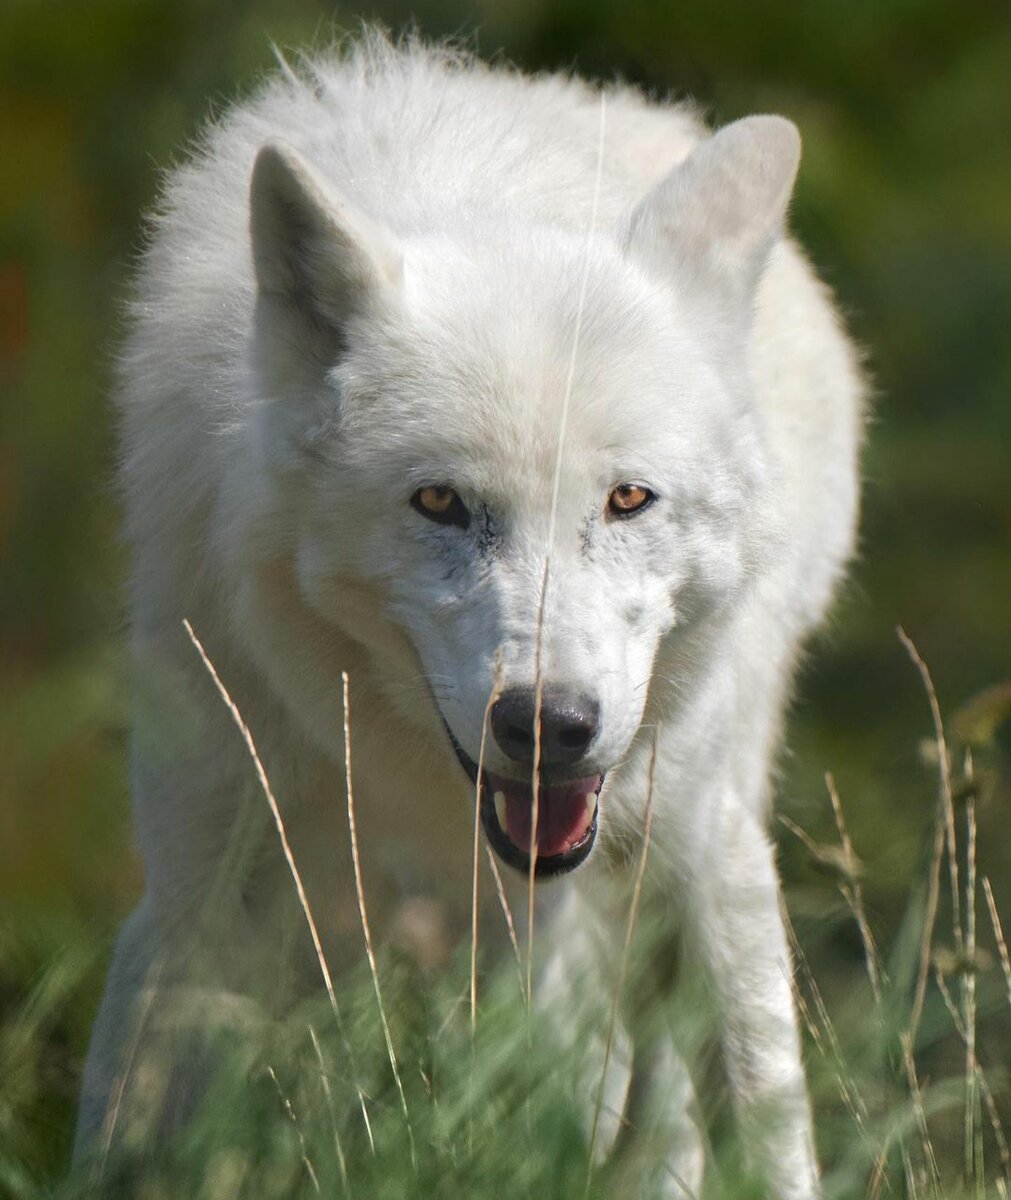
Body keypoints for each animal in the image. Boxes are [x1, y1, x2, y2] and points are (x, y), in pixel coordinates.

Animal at [78, 32, 864, 1195]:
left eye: (627, 499)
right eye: (441, 503)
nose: (552, 725)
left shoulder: (704, 858)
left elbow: (766, 1139)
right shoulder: (205, 896)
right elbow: (141, 1129)